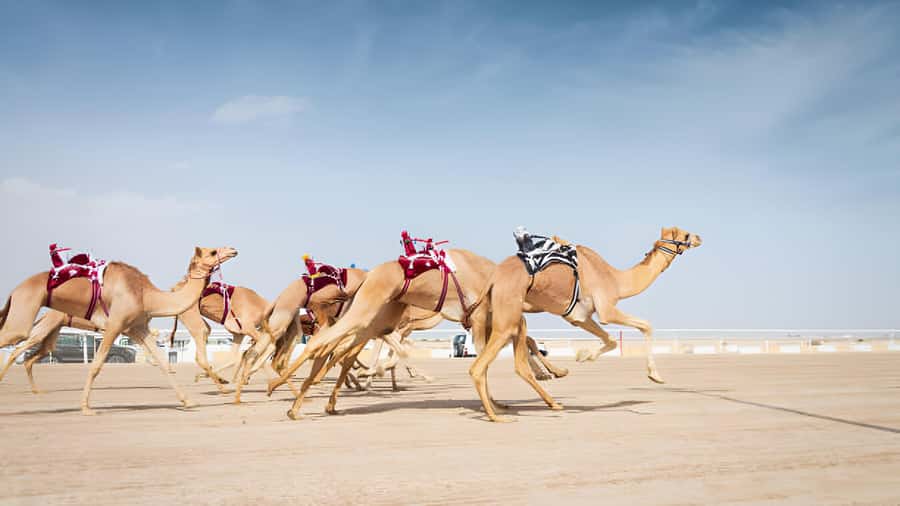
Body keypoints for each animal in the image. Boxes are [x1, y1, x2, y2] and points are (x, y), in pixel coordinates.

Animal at [0, 246, 237, 415]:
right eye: (212, 251)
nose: (233, 249)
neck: (147, 295)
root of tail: (15, 290)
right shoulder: (115, 325)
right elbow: (96, 365)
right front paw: (86, 407)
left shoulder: (137, 328)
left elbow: (163, 364)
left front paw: (188, 400)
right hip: (25, 314)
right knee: (14, 345)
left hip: (44, 326)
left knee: (32, 352)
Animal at [469, 226, 702, 421]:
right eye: (686, 234)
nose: (699, 237)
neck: (616, 280)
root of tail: (494, 277)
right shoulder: (607, 308)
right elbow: (645, 325)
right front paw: (655, 376)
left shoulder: (579, 316)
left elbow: (610, 340)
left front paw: (583, 355)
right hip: (507, 316)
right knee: (480, 366)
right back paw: (498, 416)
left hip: (505, 316)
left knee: (512, 363)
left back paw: (542, 401)